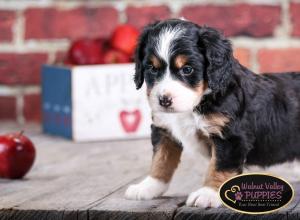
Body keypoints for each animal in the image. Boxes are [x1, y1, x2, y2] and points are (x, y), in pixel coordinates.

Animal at [123, 18, 300, 208]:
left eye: (187, 69)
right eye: (152, 68)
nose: (164, 100)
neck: (196, 104)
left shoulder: (230, 137)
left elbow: (220, 166)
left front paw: (208, 193)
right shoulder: (164, 130)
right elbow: (160, 161)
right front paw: (148, 187)